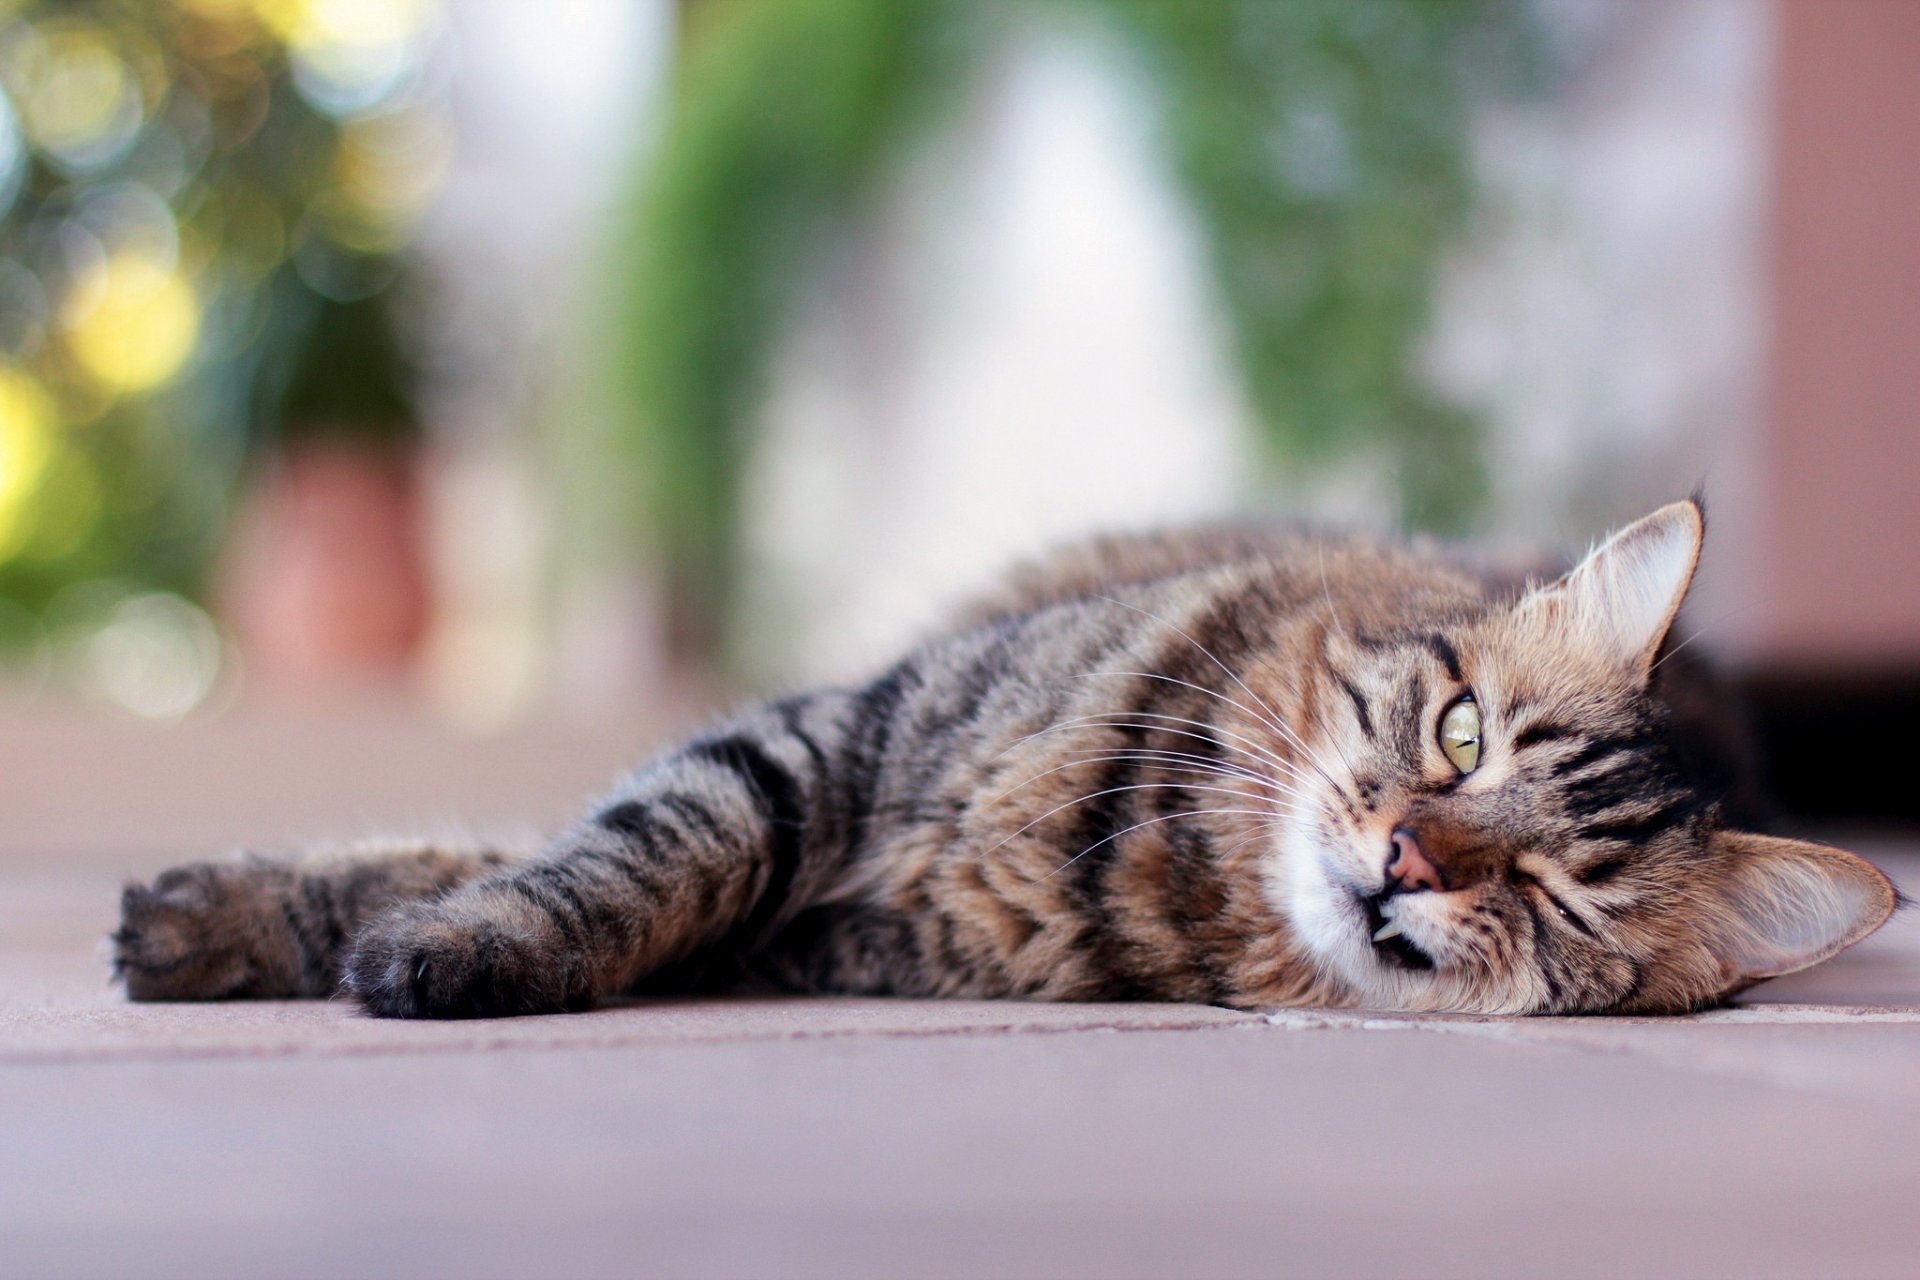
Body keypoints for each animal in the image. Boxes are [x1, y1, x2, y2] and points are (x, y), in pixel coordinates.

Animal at [112, 498, 1896, 1020]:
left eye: (1555, 898)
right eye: (1461, 737)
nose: (1404, 857)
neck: (1143, 842)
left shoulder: (811, 926)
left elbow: (593, 872)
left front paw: (434, 952)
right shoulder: (824, 742)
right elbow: (605, 848)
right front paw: (234, 921)